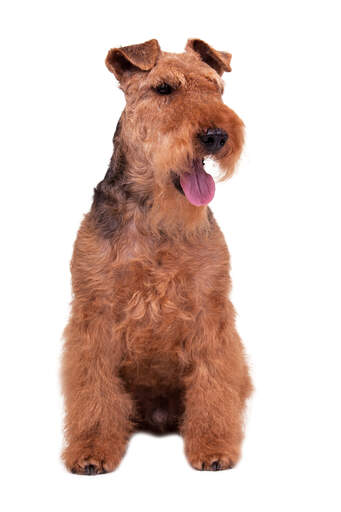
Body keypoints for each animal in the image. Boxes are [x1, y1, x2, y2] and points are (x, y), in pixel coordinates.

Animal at [61, 38, 252, 474]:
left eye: (217, 88)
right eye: (164, 88)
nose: (216, 135)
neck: (156, 219)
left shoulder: (210, 311)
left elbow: (213, 381)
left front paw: (213, 447)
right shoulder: (94, 313)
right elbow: (94, 387)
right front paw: (92, 450)